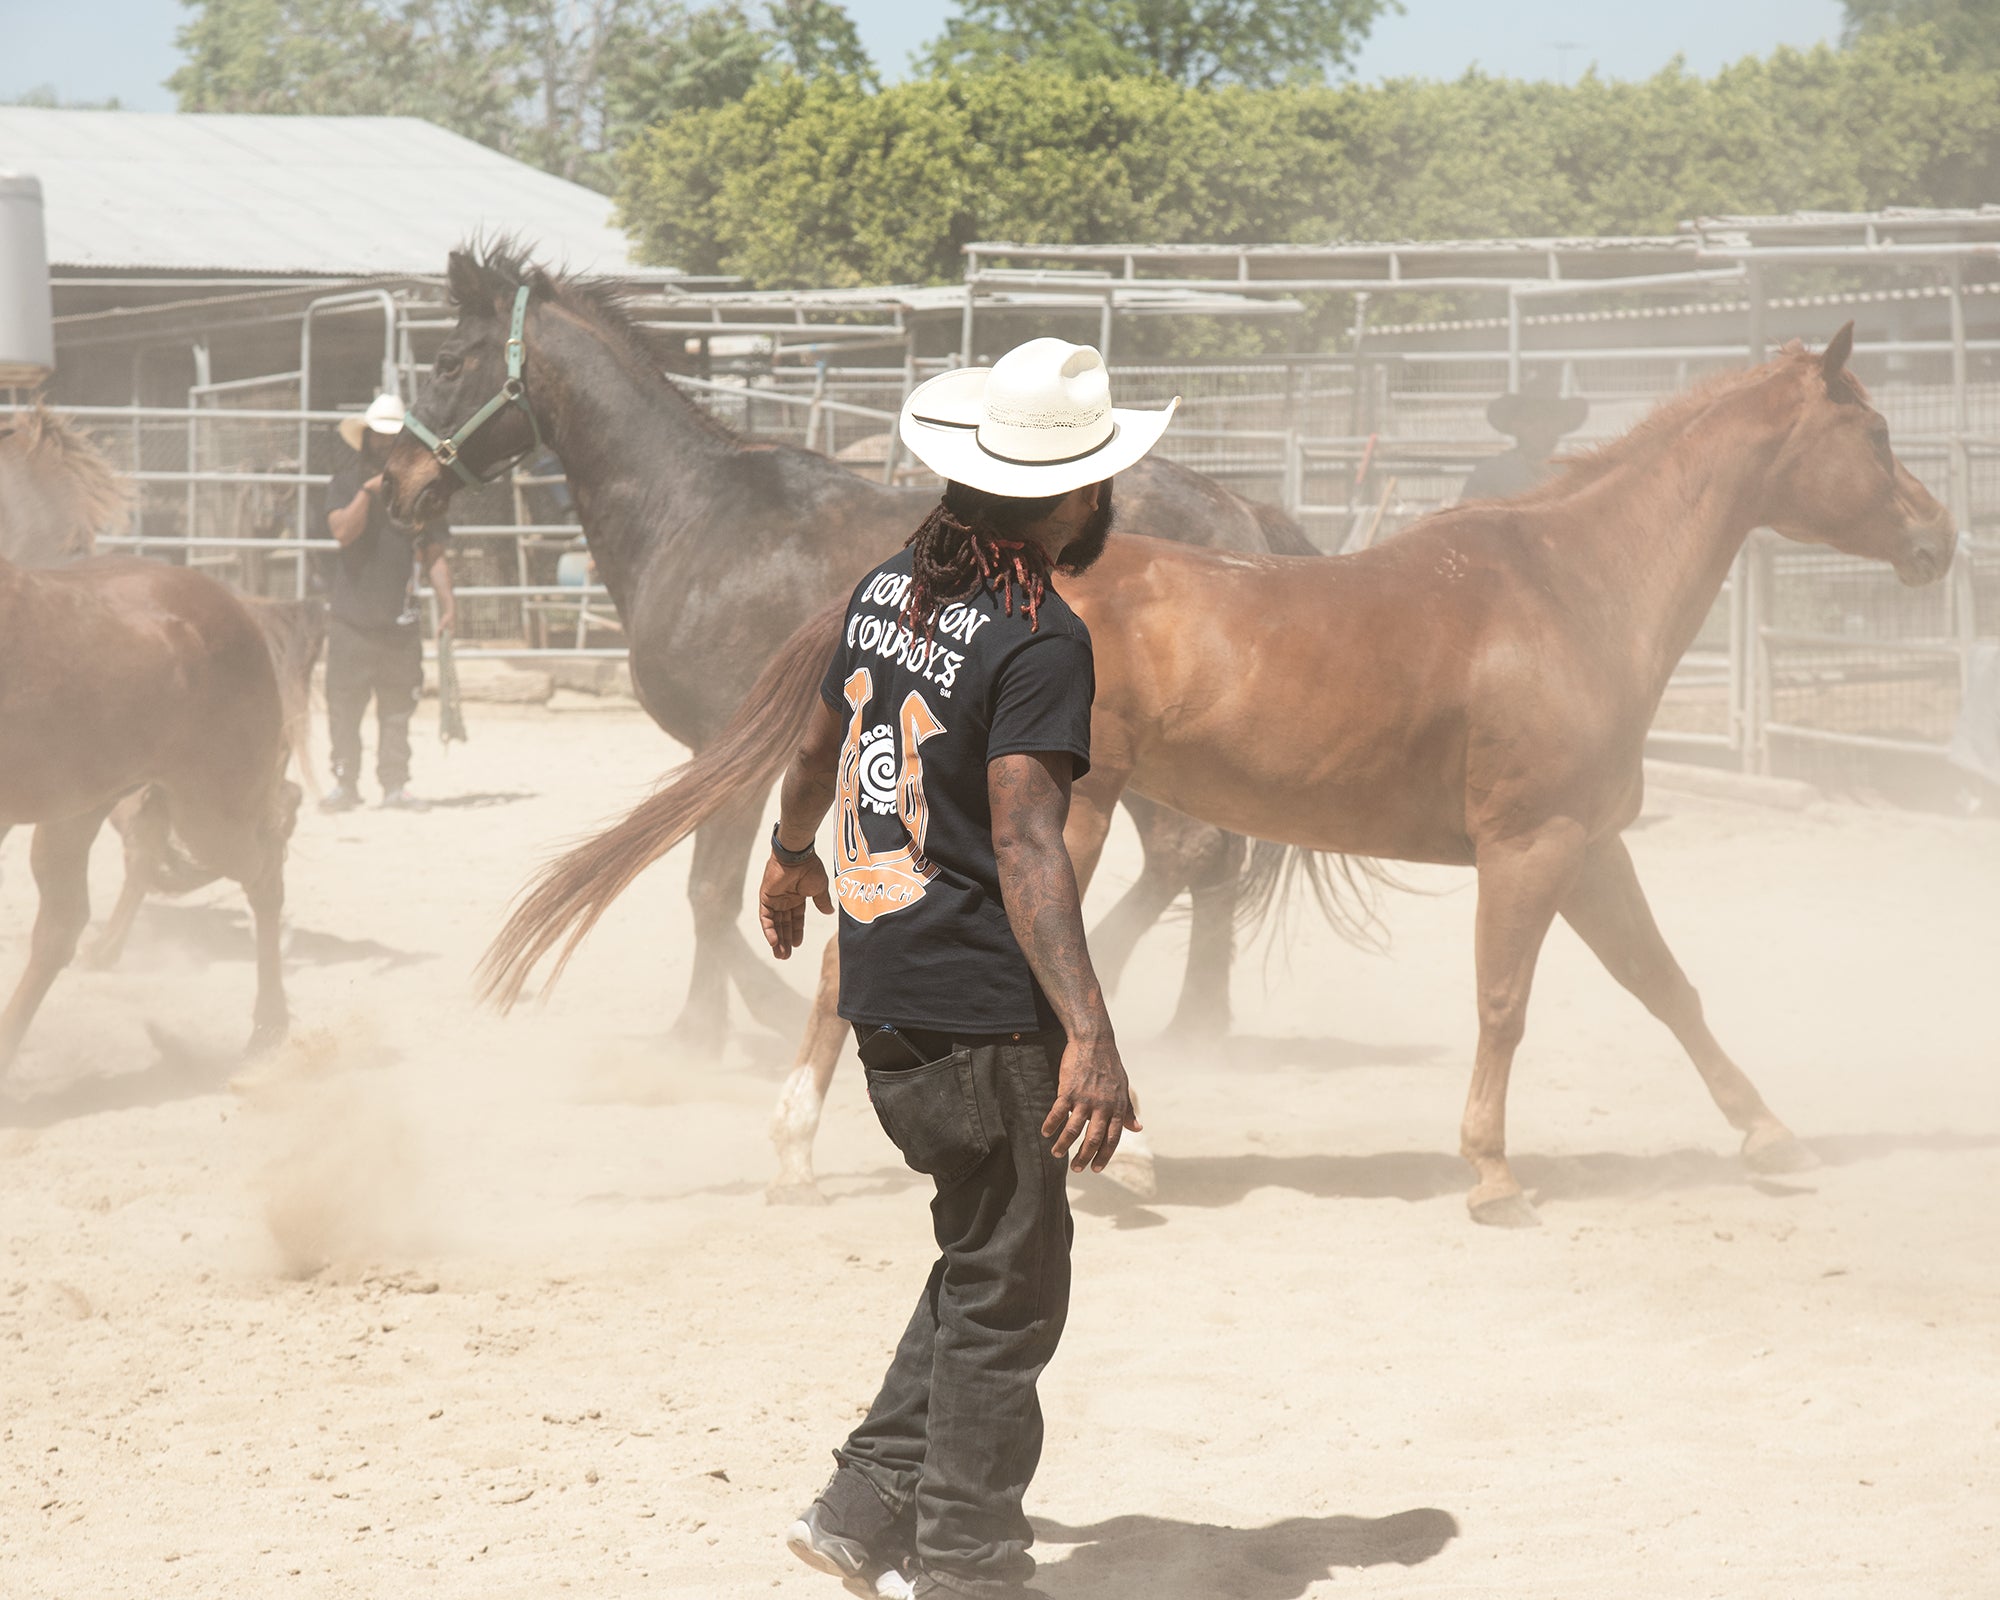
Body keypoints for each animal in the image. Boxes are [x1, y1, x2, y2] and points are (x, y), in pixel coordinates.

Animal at [386, 241, 1328, 1048]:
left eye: (446, 362)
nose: (396, 484)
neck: (692, 514)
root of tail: (1241, 514)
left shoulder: (724, 751)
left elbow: (705, 894)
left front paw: (708, 1029)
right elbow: (724, 892)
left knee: (1190, 857)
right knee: (1203, 861)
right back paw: (1197, 1022)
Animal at [472, 324, 1952, 1224]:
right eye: (1875, 436)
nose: (1939, 538)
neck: (1563, 586)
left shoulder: (1590, 845)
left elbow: (1667, 987)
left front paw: (1768, 1138)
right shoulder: (1530, 846)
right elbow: (1506, 1004)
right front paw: (1491, 1174)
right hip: (1058, 823)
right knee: (898, 959)